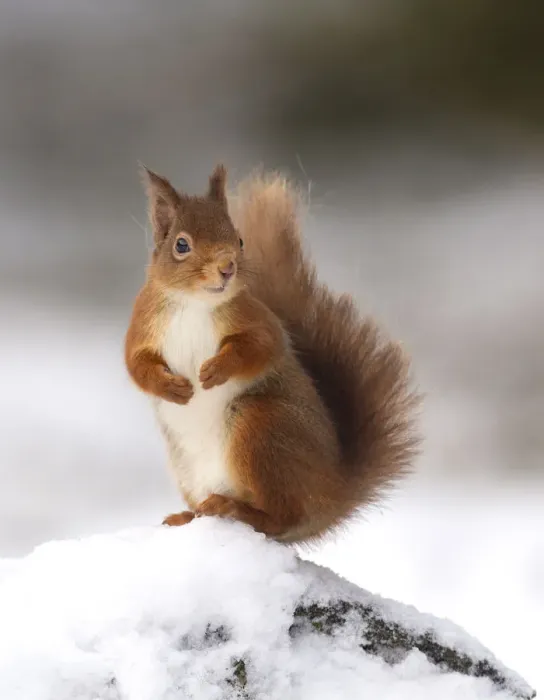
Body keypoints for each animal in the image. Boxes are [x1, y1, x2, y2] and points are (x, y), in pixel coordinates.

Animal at [125, 164, 420, 543]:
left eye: (239, 239)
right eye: (181, 245)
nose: (227, 267)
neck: (194, 303)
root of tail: (332, 494)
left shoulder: (258, 320)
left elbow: (262, 347)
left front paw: (216, 369)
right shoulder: (143, 325)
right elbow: (137, 365)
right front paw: (170, 387)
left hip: (261, 427)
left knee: (281, 518)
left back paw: (236, 509)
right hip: (190, 466)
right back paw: (189, 516)